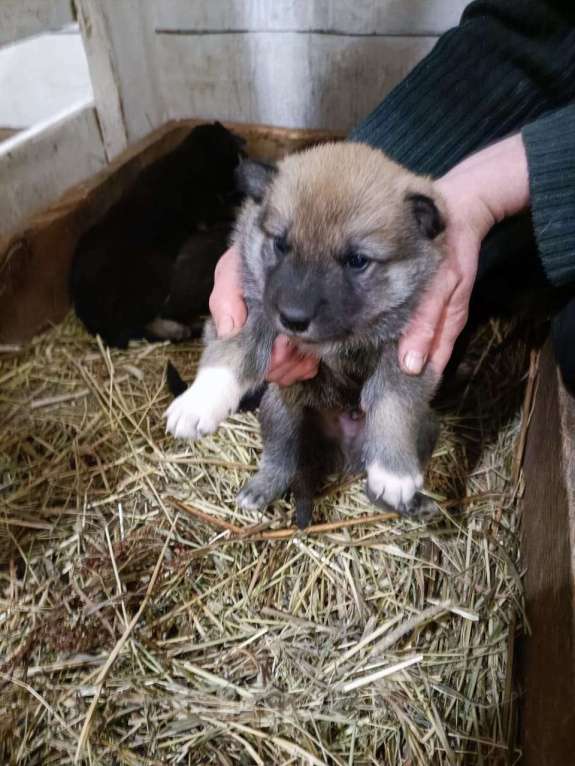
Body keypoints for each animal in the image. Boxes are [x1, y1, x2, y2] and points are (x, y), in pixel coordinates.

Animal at [164, 142, 448, 528]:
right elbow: (232, 354)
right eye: (281, 244)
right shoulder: (251, 308)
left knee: (371, 489)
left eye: (357, 260)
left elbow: (393, 400)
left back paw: (414, 504)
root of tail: (344, 454)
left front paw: (394, 472)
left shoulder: (410, 348)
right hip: (280, 411)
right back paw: (261, 488)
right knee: (281, 458)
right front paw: (198, 402)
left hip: (428, 425)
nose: (293, 319)